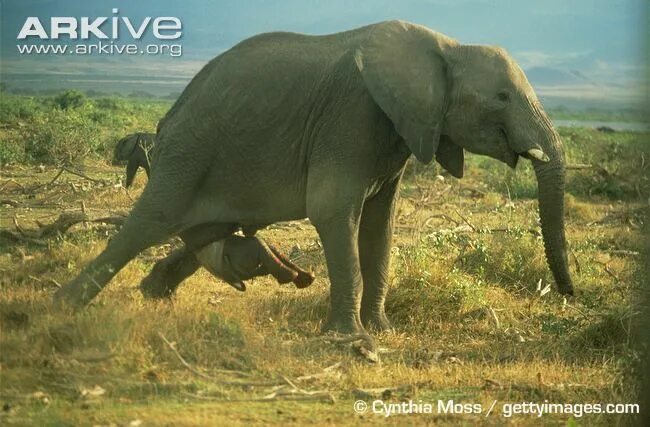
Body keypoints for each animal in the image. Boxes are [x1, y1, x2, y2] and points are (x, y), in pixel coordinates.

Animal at [55, 20, 572, 334]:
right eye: (502, 97)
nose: (568, 296)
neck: (446, 47)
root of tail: (168, 118)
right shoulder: (350, 117)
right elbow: (333, 211)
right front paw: (352, 341)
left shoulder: (400, 131)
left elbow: (379, 227)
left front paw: (382, 332)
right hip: (189, 152)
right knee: (149, 224)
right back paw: (60, 306)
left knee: (211, 230)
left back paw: (155, 294)